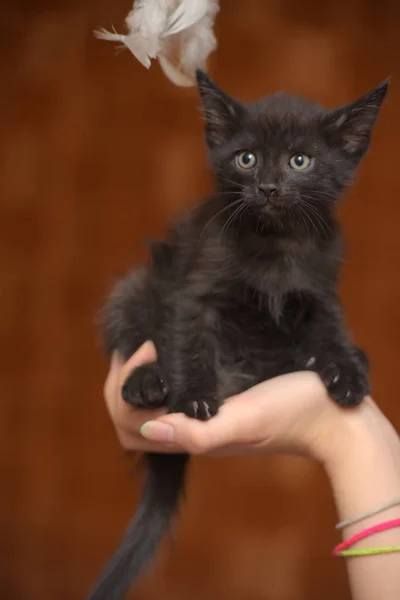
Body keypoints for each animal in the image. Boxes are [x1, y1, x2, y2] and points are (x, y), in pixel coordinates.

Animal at [88, 71, 388, 600]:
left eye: (299, 160)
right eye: (246, 158)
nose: (267, 187)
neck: (275, 242)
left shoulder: (321, 290)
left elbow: (331, 327)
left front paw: (346, 371)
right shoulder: (196, 289)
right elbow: (191, 338)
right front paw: (194, 394)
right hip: (135, 286)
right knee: (136, 331)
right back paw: (147, 382)